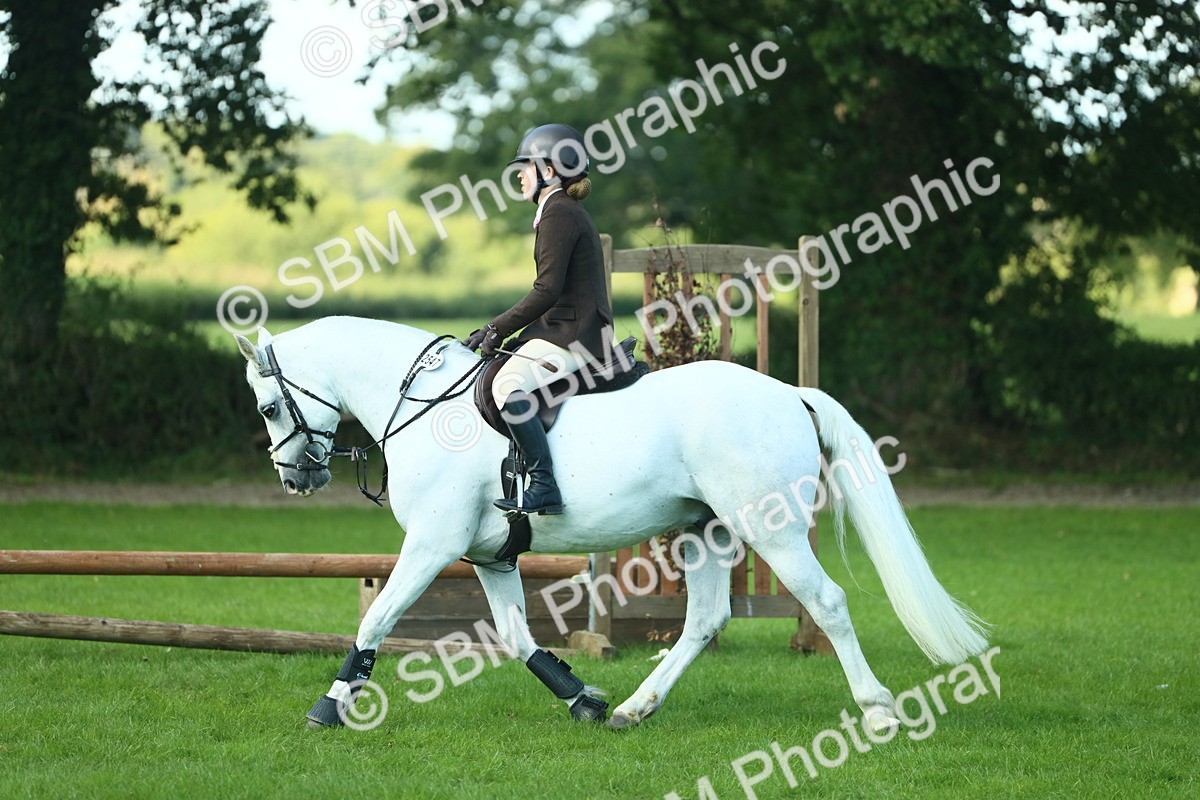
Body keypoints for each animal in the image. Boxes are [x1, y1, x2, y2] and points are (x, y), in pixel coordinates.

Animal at [233, 316, 988, 732]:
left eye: (268, 406)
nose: (297, 477)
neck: (425, 404)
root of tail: (788, 393)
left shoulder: (432, 544)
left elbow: (376, 620)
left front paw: (330, 706)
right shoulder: (491, 556)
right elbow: (517, 637)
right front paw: (584, 701)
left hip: (768, 529)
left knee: (826, 604)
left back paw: (877, 707)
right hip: (704, 532)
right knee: (704, 620)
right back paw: (634, 707)